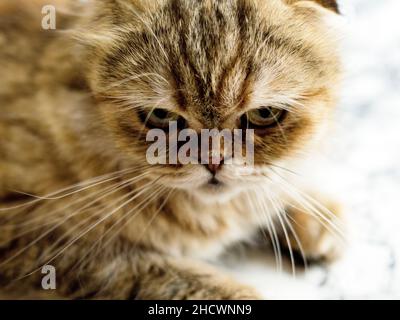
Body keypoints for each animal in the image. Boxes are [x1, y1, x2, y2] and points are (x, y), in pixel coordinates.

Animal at [0, 0, 344, 300]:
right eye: (161, 116)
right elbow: (166, 275)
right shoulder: (38, 238)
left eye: (264, 114)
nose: (214, 161)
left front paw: (315, 216)